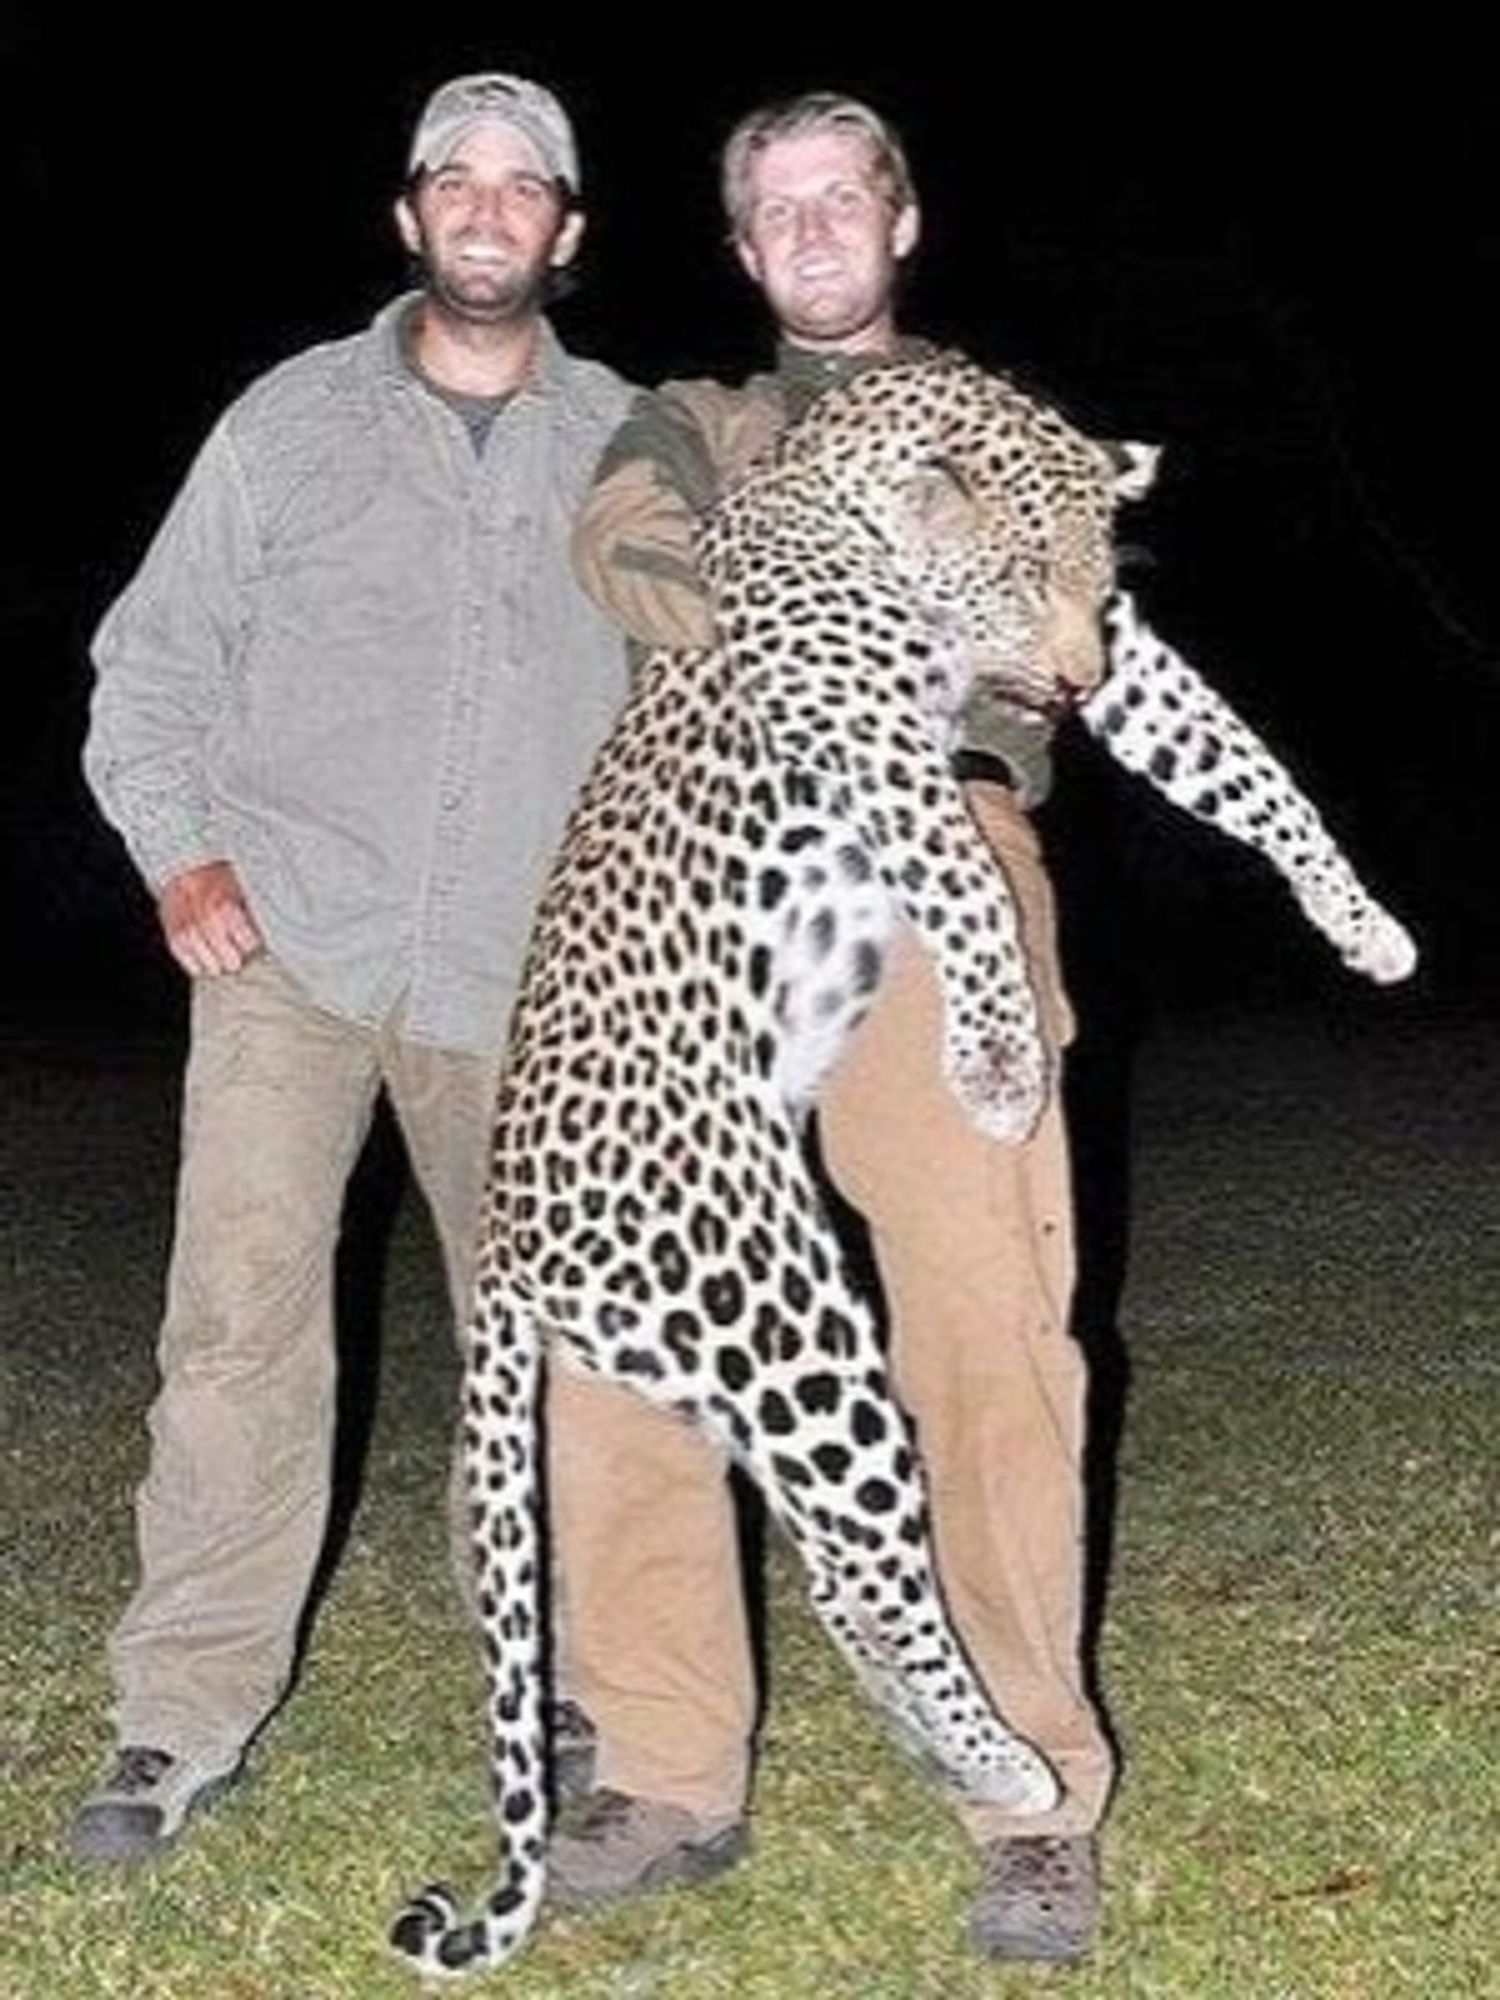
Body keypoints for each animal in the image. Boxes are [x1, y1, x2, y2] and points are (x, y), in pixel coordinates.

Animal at [390, 352, 1424, 1976]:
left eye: (1094, 579)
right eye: (1014, 571)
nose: (1059, 679)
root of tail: (500, 1237)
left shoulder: (1127, 667)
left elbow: (1250, 770)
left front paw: (1366, 924)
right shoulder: (872, 730)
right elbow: (969, 883)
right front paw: (998, 1066)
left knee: (835, 1567)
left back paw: (981, 1763)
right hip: (790, 1326)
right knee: (863, 1560)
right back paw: (1010, 1763)